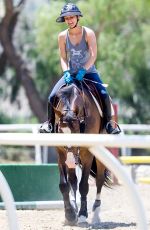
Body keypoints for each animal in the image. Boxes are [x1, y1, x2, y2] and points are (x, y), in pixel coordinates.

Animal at [52, 80, 110, 226]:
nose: (70, 161)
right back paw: (74, 207)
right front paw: (70, 215)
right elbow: (64, 185)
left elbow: (84, 185)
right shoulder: (61, 153)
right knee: (73, 179)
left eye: (77, 132)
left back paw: (96, 214)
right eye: (60, 131)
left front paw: (83, 215)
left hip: (99, 155)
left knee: (100, 179)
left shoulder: (87, 153)